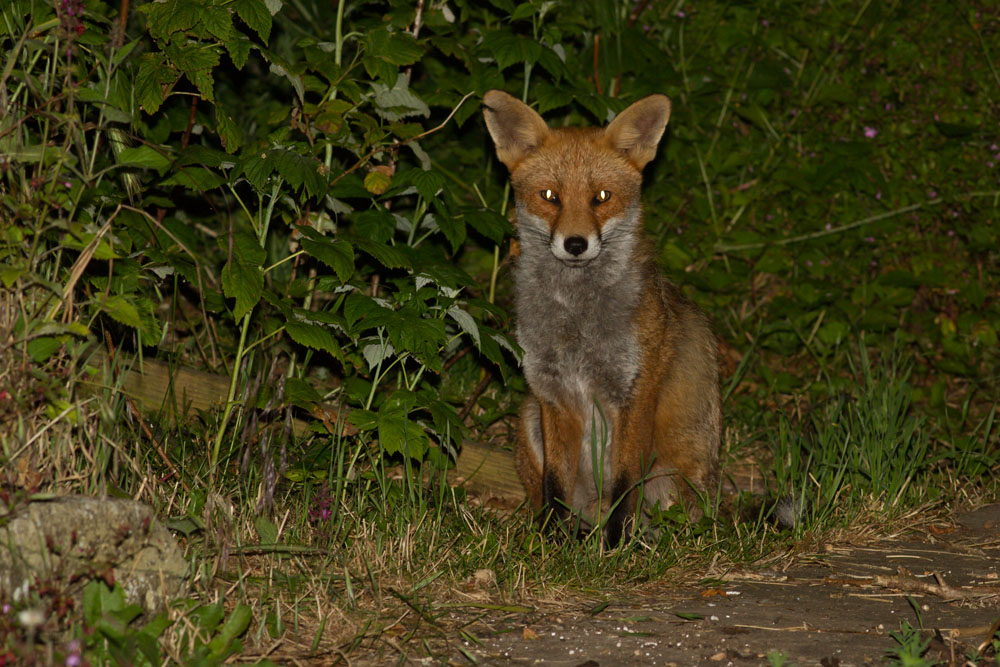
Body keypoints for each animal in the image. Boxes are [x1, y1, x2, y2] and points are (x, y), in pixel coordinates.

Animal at [482, 90, 722, 547]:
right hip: (528, 416)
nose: (575, 244)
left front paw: (614, 548)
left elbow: (624, 486)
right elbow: (554, 485)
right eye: (550, 195)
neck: (576, 326)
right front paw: (551, 545)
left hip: (672, 480)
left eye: (602, 197)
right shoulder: (554, 396)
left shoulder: (634, 394)